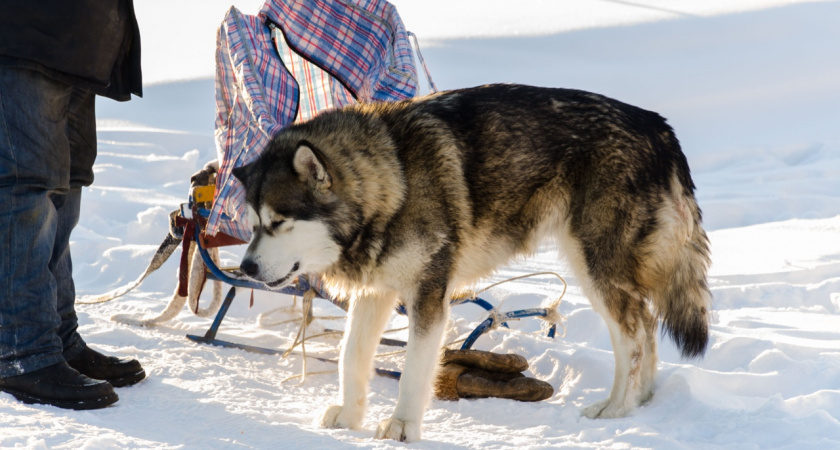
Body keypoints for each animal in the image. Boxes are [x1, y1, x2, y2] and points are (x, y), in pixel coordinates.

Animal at [233, 82, 712, 442]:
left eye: (278, 222)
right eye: (252, 224)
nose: (247, 269)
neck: (394, 180)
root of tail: (657, 126)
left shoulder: (428, 295)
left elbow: (413, 371)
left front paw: (403, 426)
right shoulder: (376, 291)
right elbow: (351, 356)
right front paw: (351, 418)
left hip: (594, 265)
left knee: (633, 336)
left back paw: (617, 408)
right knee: (646, 326)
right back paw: (640, 401)